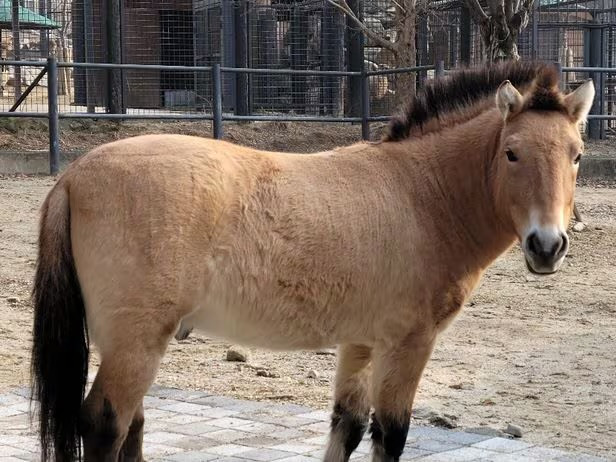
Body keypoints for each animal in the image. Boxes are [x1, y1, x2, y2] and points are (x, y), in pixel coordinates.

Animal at [31, 62, 596, 462]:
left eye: (577, 154)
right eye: (512, 153)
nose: (547, 246)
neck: (422, 195)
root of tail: (73, 176)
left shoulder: (360, 342)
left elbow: (347, 427)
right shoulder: (409, 344)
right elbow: (391, 434)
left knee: (133, 428)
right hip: (136, 343)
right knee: (106, 426)